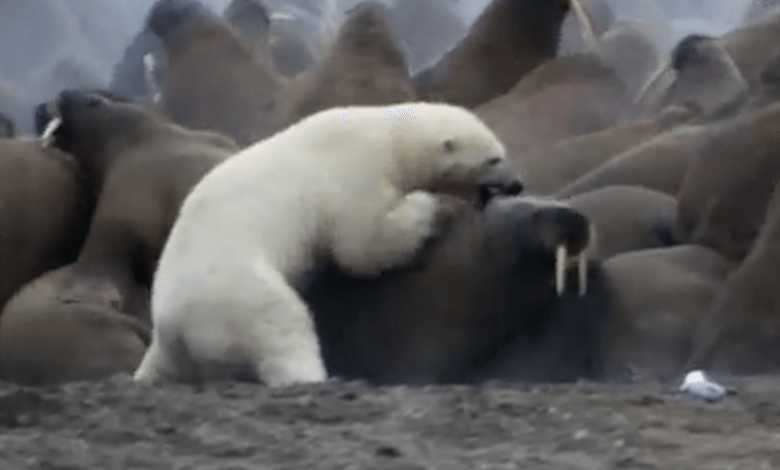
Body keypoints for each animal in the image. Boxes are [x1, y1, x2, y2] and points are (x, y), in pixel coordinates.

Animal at [132, 101, 524, 388]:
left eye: (503, 152)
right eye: (494, 159)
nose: (517, 184)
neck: (390, 134)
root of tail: (168, 324)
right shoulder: (354, 172)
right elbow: (361, 245)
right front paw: (436, 207)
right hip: (232, 289)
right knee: (280, 323)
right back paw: (313, 376)